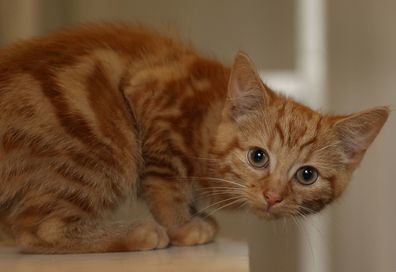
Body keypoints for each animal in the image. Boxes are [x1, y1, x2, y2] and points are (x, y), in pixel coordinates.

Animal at [0, 23, 390, 253]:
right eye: (258, 157)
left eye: (307, 175)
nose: (273, 196)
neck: (206, 119)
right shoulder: (153, 103)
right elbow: (165, 183)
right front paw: (181, 225)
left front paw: (195, 215)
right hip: (104, 147)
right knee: (35, 229)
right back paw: (136, 233)